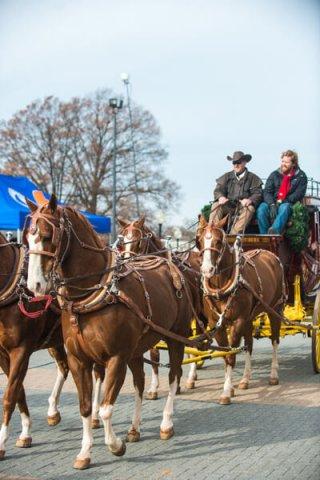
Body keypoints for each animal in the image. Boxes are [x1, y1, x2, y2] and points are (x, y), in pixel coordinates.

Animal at [25, 197, 194, 470]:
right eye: (28, 239)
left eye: (48, 235)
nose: (34, 285)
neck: (91, 295)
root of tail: (170, 264)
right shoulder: (79, 360)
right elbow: (85, 407)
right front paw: (85, 452)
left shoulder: (116, 358)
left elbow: (105, 407)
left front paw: (115, 445)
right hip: (137, 349)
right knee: (139, 383)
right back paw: (134, 428)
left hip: (175, 337)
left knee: (174, 376)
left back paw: (166, 423)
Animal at [196, 216, 286, 404]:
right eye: (198, 241)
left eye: (219, 241)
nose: (207, 270)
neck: (222, 287)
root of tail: (268, 253)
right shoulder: (217, 324)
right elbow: (226, 354)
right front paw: (230, 387)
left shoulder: (238, 321)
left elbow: (231, 354)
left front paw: (225, 392)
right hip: (249, 318)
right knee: (249, 345)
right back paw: (245, 379)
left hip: (275, 309)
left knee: (274, 340)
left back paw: (273, 375)